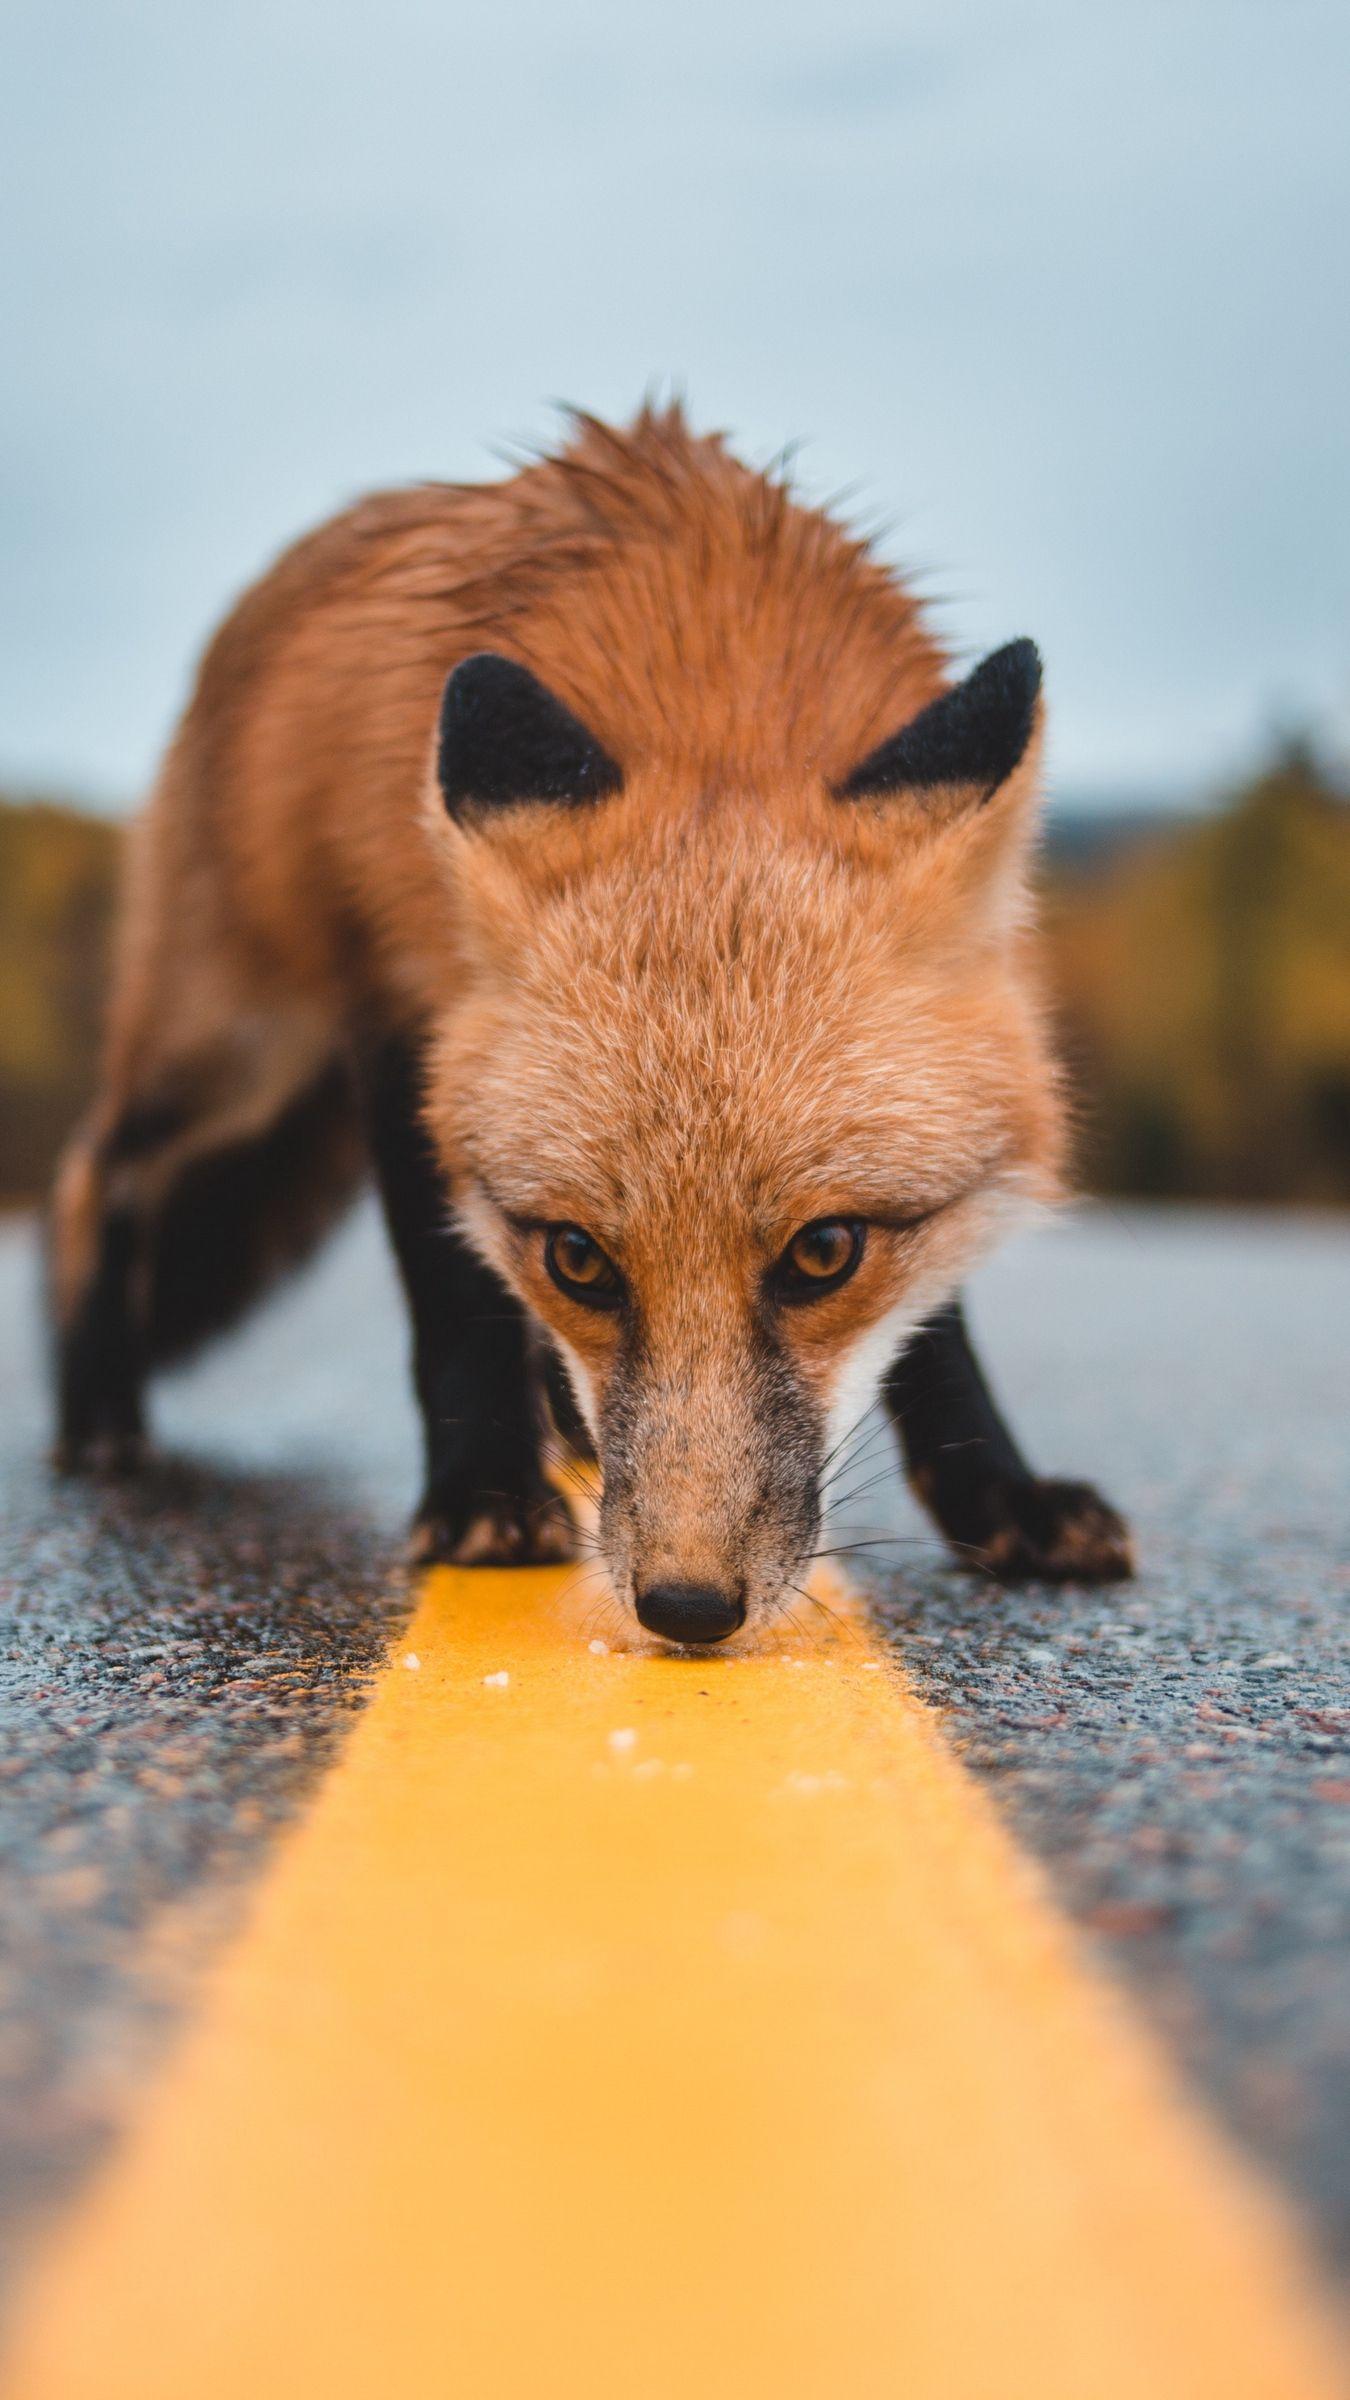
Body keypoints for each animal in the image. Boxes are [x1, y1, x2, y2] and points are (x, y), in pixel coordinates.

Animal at [49, 403, 1132, 1647]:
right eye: (578, 1258)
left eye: (825, 1254)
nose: (688, 1607)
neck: (714, 685)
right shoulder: (401, 1016)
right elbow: (452, 1293)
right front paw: (480, 1493)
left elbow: (938, 1332)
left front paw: (997, 1494)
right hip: (239, 1046)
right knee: (97, 1168)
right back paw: (96, 1409)